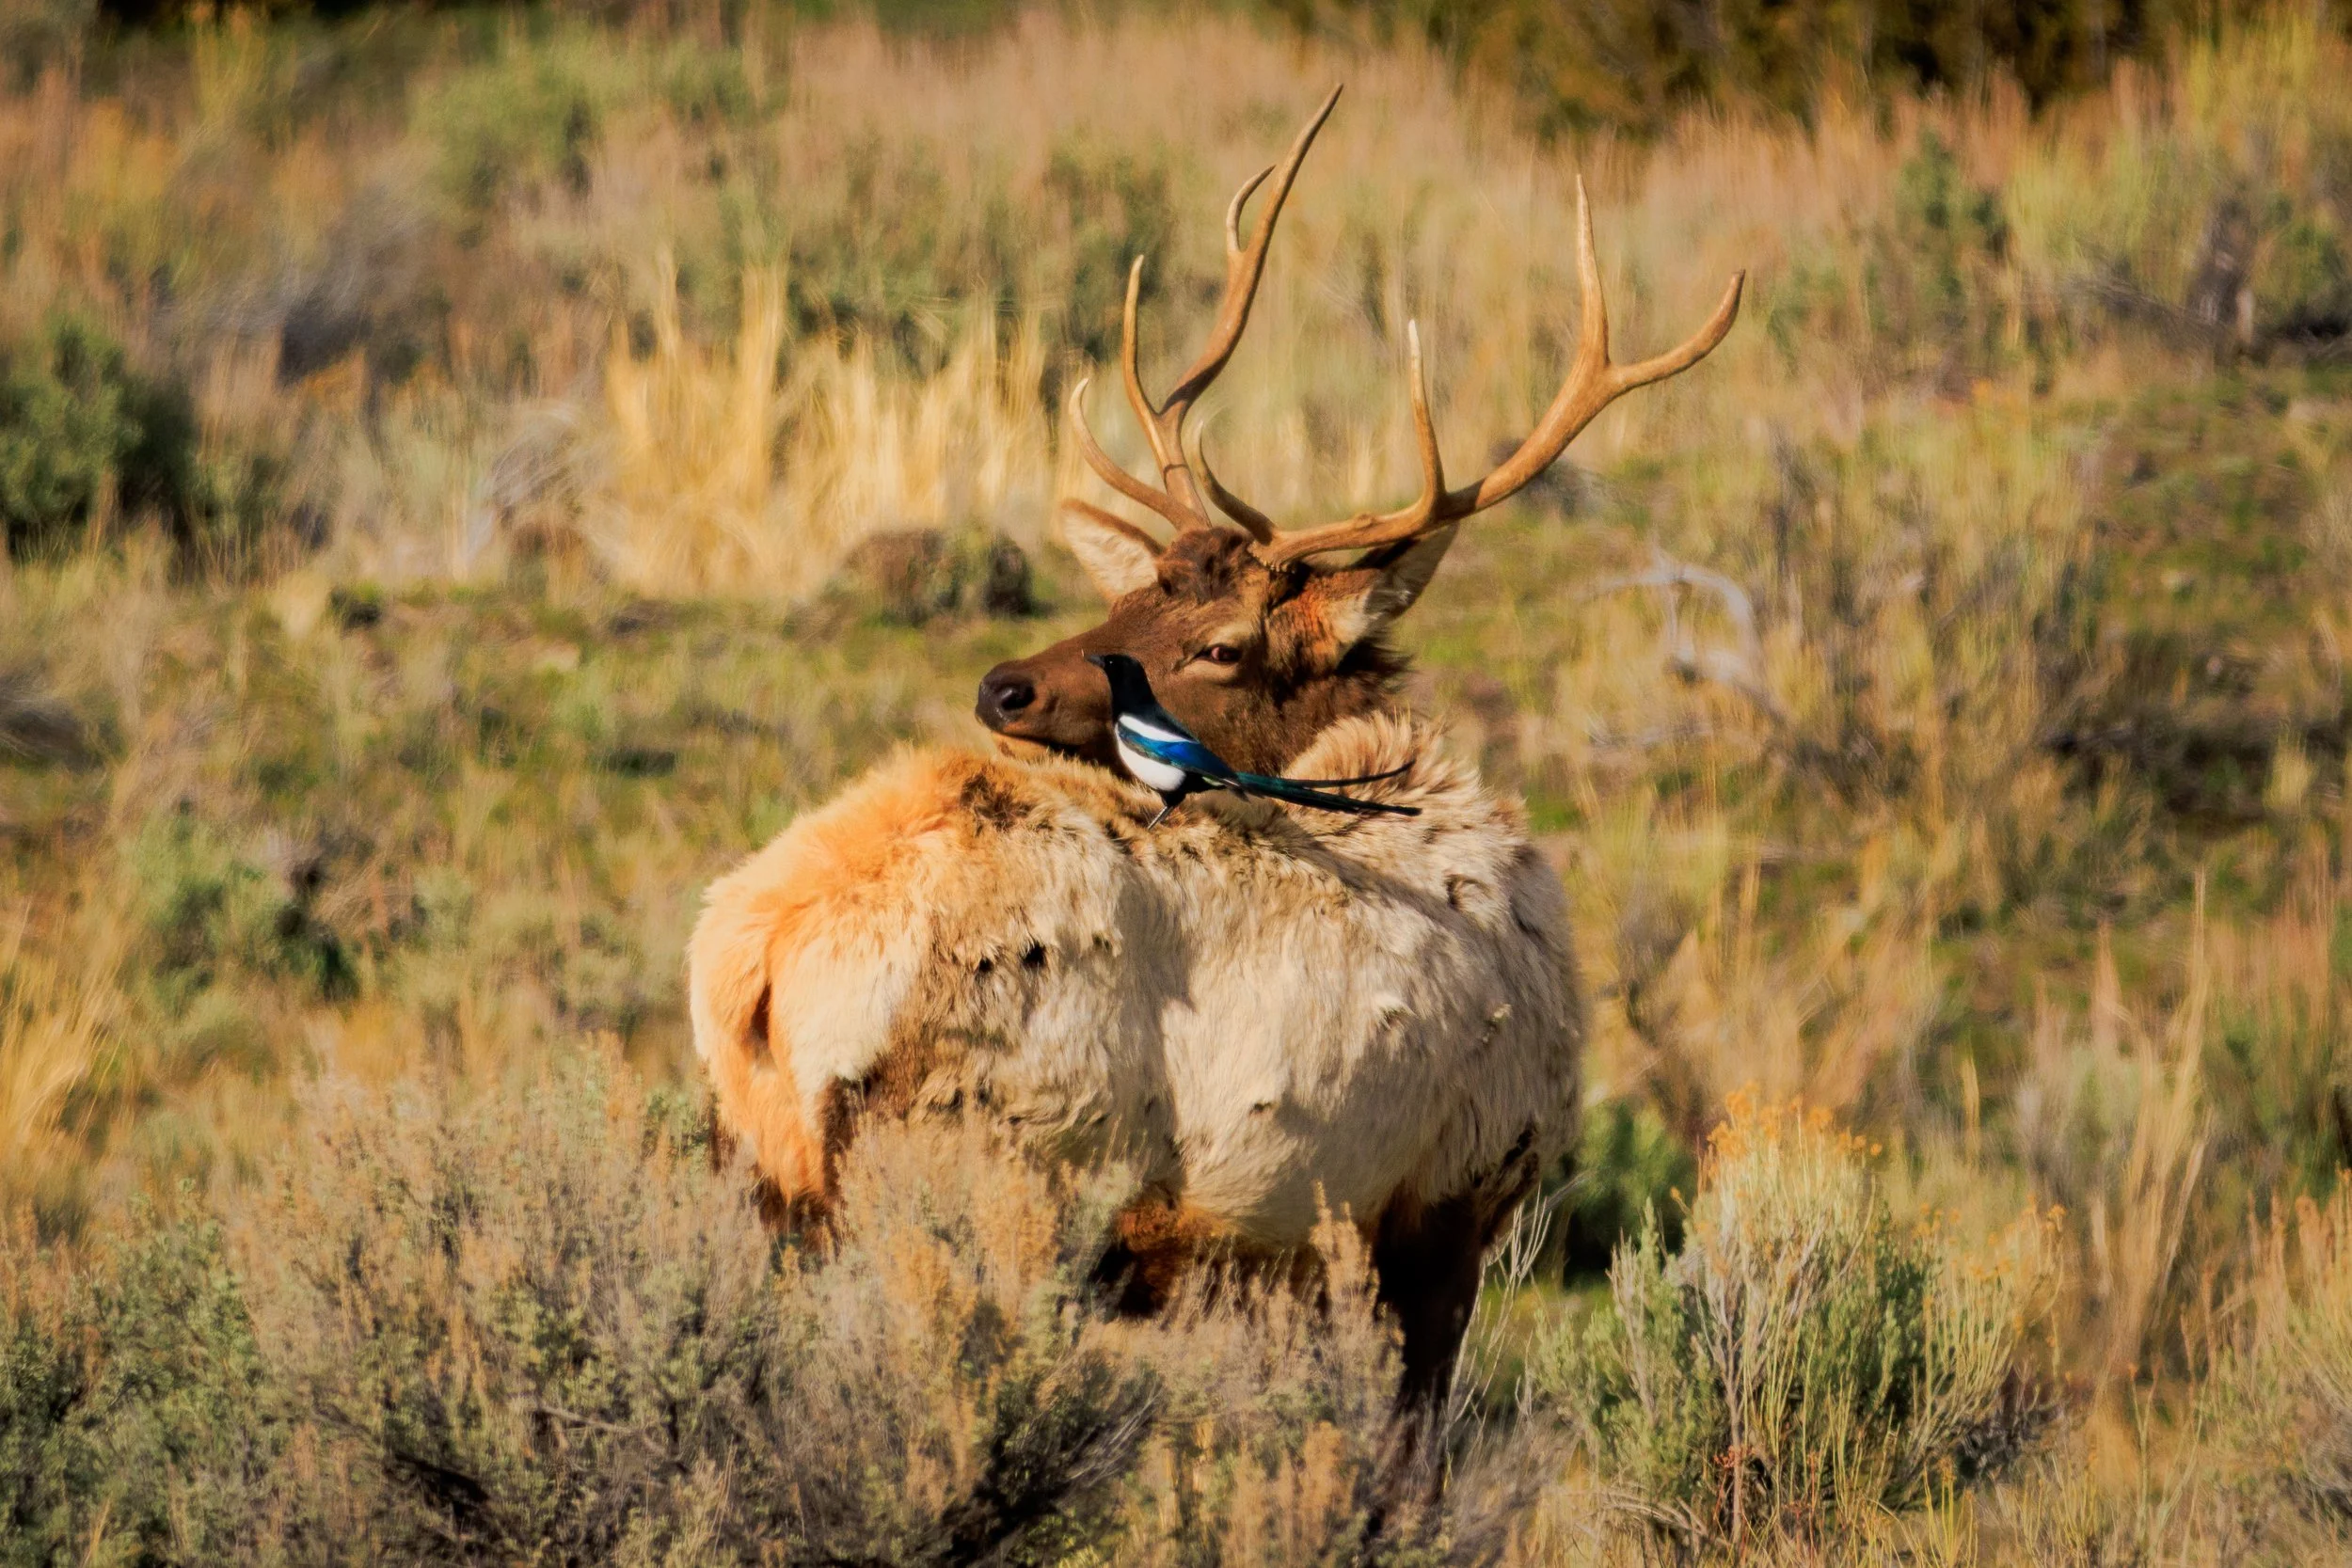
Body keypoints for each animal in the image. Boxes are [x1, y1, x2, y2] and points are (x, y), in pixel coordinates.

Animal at [688, 85, 1742, 1428]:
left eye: (1218, 639)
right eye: (1133, 589)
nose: (1003, 683)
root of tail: (750, 956)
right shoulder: (1446, 1197)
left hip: (762, 1182)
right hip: (980, 1172)